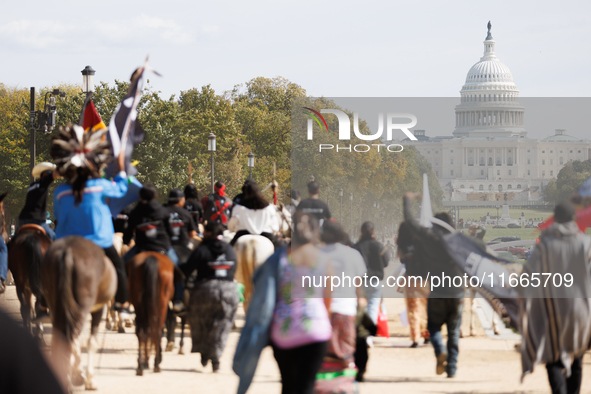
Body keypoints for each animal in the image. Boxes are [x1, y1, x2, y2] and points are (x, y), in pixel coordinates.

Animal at [42, 235, 117, 390]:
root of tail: (68, 250)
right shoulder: (97, 309)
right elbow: (91, 342)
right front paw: (89, 379)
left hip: (57, 306)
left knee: (62, 337)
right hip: (80, 308)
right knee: (72, 337)